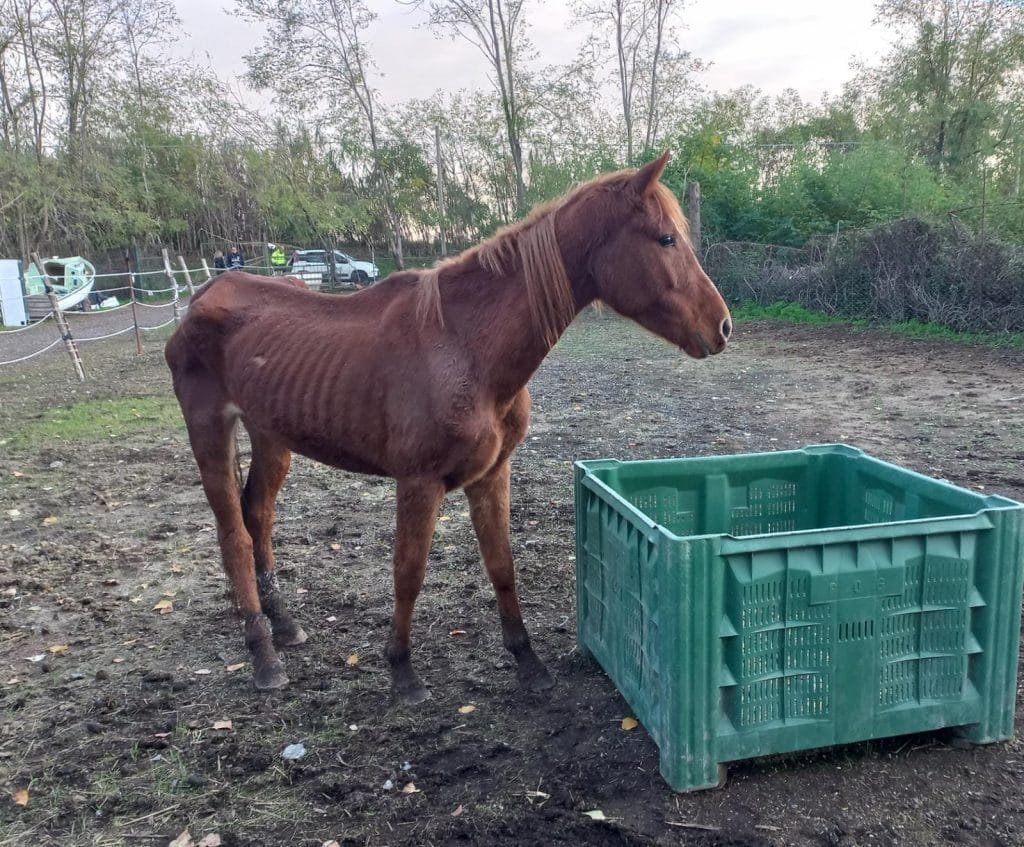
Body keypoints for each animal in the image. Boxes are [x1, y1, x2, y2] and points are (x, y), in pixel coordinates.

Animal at [165, 151, 731, 704]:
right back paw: (263, 654)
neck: (464, 346)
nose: (722, 325)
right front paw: (402, 670)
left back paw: (282, 625)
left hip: (270, 436)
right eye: (666, 238)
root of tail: (208, 291)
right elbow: (408, 572)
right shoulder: (419, 483)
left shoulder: (492, 475)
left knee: (257, 517)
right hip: (209, 431)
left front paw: (528, 662)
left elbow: (501, 564)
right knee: (233, 535)